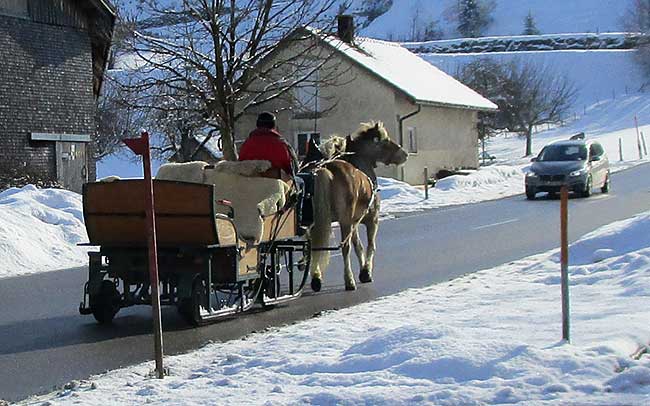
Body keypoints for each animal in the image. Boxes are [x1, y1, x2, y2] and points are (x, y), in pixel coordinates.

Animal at [308, 120, 404, 292]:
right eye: (385, 140)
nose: (404, 154)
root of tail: (322, 170)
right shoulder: (371, 220)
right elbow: (370, 245)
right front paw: (366, 271)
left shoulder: (353, 222)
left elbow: (358, 245)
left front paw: (363, 269)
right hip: (344, 220)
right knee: (345, 248)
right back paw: (349, 280)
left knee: (314, 248)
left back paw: (316, 278)